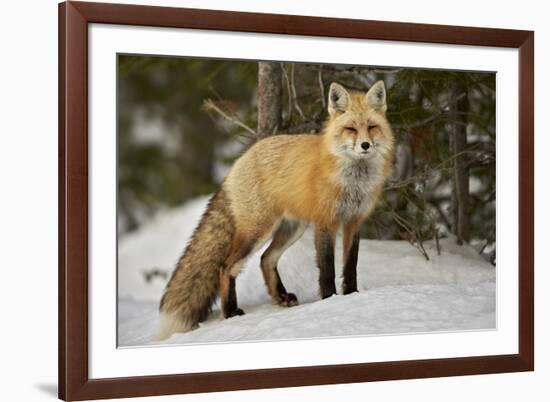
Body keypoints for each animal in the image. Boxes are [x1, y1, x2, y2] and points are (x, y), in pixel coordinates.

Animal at [157, 80, 394, 338]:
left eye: (371, 127)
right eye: (350, 128)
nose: (365, 145)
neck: (353, 181)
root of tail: (239, 161)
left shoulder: (354, 221)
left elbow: (350, 266)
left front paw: (351, 296)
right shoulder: (326, 223)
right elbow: (327, 269)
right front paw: (329, 299)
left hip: (292, 228)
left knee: (266, 259)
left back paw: (280, 297)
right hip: (257, 231)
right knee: (225, 267)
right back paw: (230, 312)